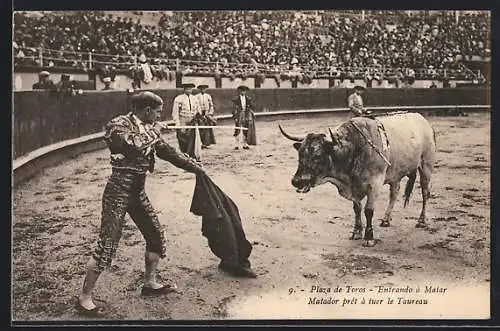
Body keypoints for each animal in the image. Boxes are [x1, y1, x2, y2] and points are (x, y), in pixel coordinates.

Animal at [280, 113, 436, 248]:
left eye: (317, 156)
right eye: (300, 154)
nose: (296, 181)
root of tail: (421, 119)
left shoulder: (375, 184)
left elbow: (368, 210)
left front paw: (369, 237)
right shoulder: (354, 187)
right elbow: (357, 208)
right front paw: (356, 232)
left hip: (426, 166)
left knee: (425, 192)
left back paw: (421, 221)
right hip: (395, 172)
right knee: (394, 193)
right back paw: (386, 219)